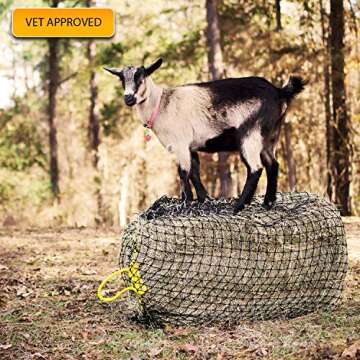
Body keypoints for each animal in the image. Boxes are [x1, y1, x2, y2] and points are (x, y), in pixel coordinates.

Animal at [105, 57, 306, 212]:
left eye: (141, 78)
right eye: (122, 80)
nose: (128, 98)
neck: (161, 104)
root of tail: (280, 92)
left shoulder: (180, 143)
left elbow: (183, 172)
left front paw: (185, 202)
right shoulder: (190, 146)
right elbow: (195, 170)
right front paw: (203, 199)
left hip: (250, 134)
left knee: (256, 168)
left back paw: (239, 206)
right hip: (269, 137)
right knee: (273, 164)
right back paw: (267, 203)